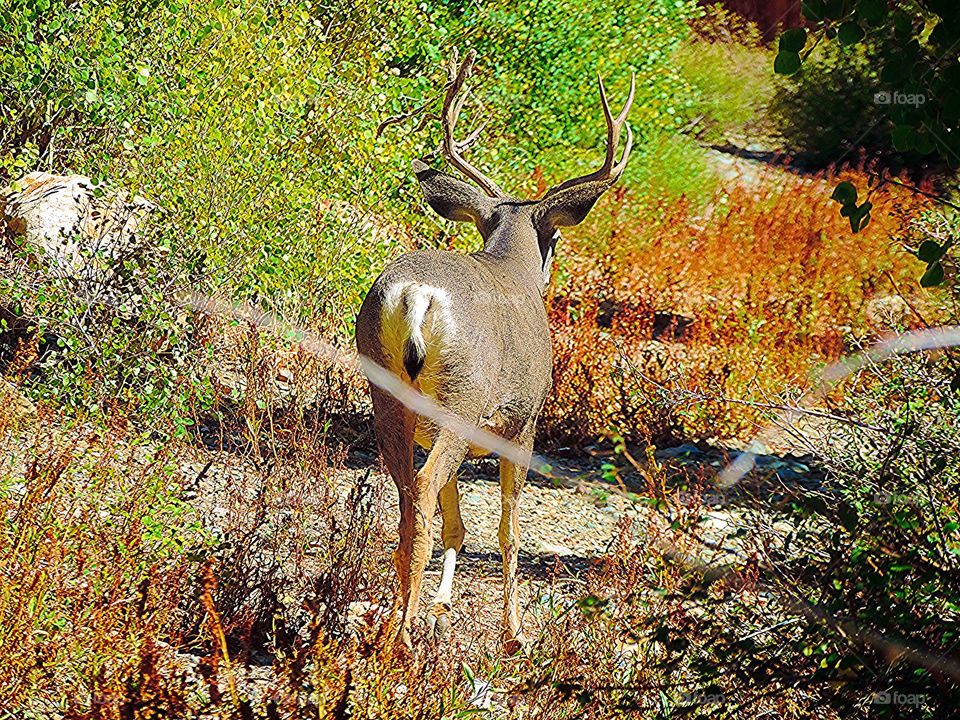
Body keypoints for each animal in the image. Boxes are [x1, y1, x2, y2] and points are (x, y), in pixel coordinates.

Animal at [355, 48, 633, 652]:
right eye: (556, 237)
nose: (552, 268)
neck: (510, 263)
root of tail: (416, 296)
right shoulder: (523, 425)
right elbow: (509, 531)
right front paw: (515, 630)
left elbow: (458, 522)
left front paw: (443, 606)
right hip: (463, 398)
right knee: (423, 491)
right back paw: (404, 636)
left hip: (389, 394)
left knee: (409, 497)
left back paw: (396, 622)